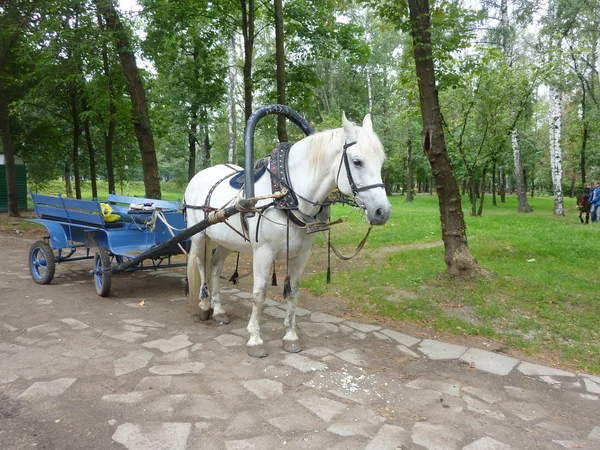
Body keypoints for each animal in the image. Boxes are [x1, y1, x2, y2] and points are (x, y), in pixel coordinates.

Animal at [184, 113, 390, 358]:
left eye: (381, 162)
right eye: (357, 161)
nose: (382, 212)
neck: (287, 195)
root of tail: (199, 175)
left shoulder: (301, 254)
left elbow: (293, 293)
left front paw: (290, 336)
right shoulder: (262, 253)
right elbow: (259, 294)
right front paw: (255, 338)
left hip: (226, 239)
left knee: (215, 267)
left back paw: (218, 310)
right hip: (199, 235)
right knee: (202, 265)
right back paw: (205, 305)